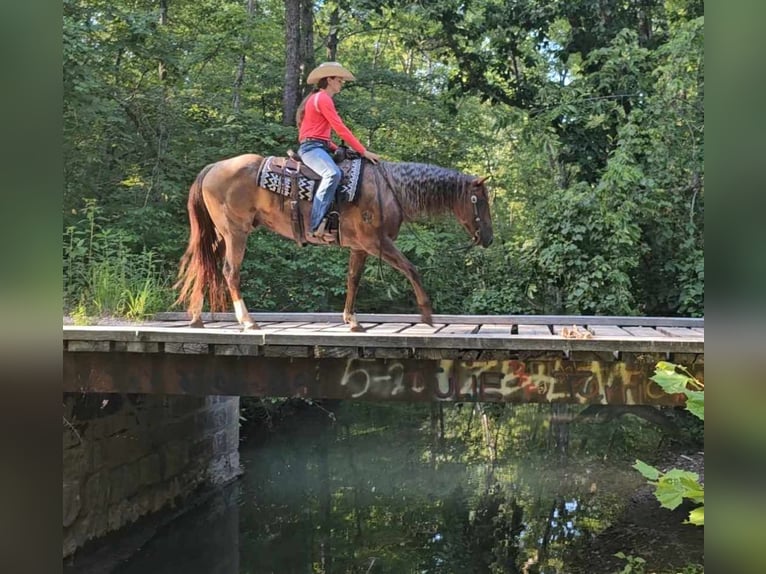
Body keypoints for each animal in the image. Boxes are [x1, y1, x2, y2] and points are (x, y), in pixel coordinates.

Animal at [174, 153, 493, 331]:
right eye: (479, 201)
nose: (488, 238)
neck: (388, 189)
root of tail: (212, 168)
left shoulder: (360, 247)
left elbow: (353, 280)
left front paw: (352, 320)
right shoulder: (377, 242)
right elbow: (411, 268)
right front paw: (426, 314)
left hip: (220, 235)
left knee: (205, 264)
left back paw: (196, 318)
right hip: (236, 233)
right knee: (230, 272)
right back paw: (247, 321)